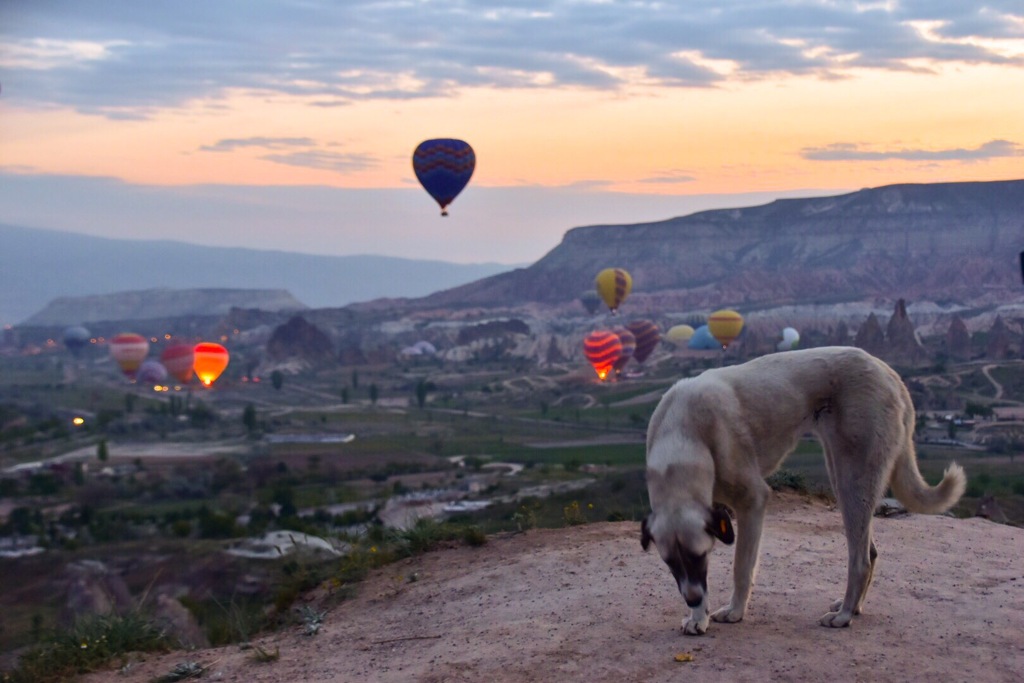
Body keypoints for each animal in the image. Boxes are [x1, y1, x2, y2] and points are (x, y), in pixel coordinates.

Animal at [643, 348, 962, 634]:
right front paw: (698, 618)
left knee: (859, 560)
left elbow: (741, 567)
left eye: (699, 557)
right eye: (670, 564)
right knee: (870, 553)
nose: (692, 600)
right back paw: (853, 607)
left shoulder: (753, 501)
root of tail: (889, 372)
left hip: (852, 480)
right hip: (841, 472)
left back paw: (845, 615)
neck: (682, 433)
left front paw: (734, 611)